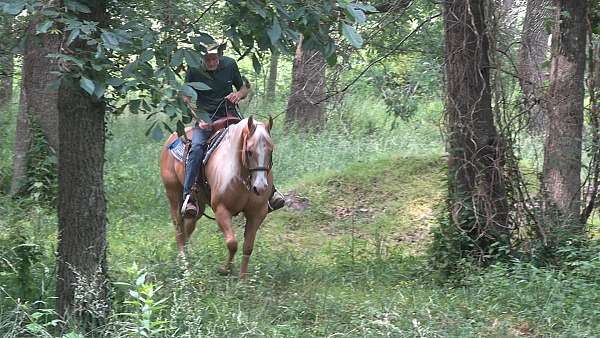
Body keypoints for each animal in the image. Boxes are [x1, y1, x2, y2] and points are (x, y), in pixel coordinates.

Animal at [158, 116, 274, 278]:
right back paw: (185, 267)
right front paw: (225, 270)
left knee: (188, 227)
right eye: (249, 151)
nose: (261, 187)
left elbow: (248, 247)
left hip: (198, 206)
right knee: (179, 229)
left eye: (271, 150)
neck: (239, 174)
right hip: (173, 195)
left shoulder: (257, 213)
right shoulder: (221, 210)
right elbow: (232, 243)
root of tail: (172, 137)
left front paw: (243, 279)